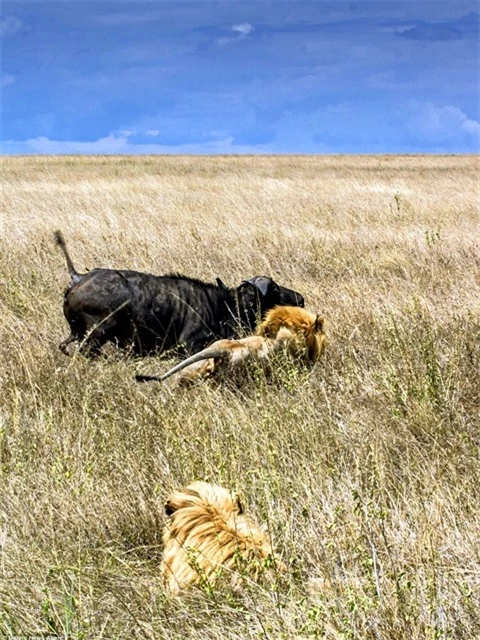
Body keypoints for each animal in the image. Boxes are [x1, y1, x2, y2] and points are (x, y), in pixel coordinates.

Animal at [55, 231, 304, 358]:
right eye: (274, 289)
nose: (300, 299)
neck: (223, 305)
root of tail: (78, 278)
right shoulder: (191, 345)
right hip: (95, 337)